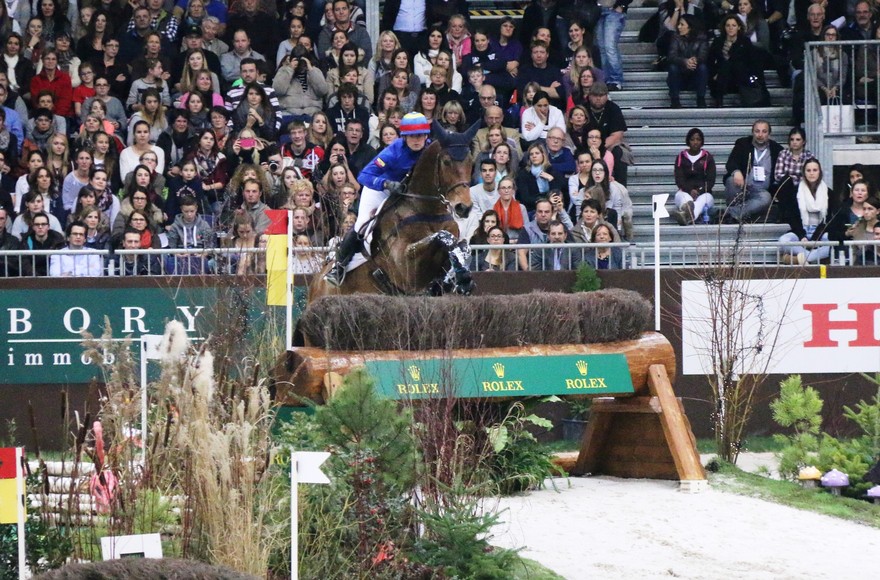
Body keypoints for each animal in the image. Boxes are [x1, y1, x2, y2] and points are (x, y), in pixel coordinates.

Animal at [310, 122, 479, 300]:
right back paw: (335, 272)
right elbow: (443, 236)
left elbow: (461, 245)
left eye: (470, 163)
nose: (464, 207)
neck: (428, 211)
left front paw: (462, 278)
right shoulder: (407, 267)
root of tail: (315, 282)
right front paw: (460, 276)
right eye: (446, 162)